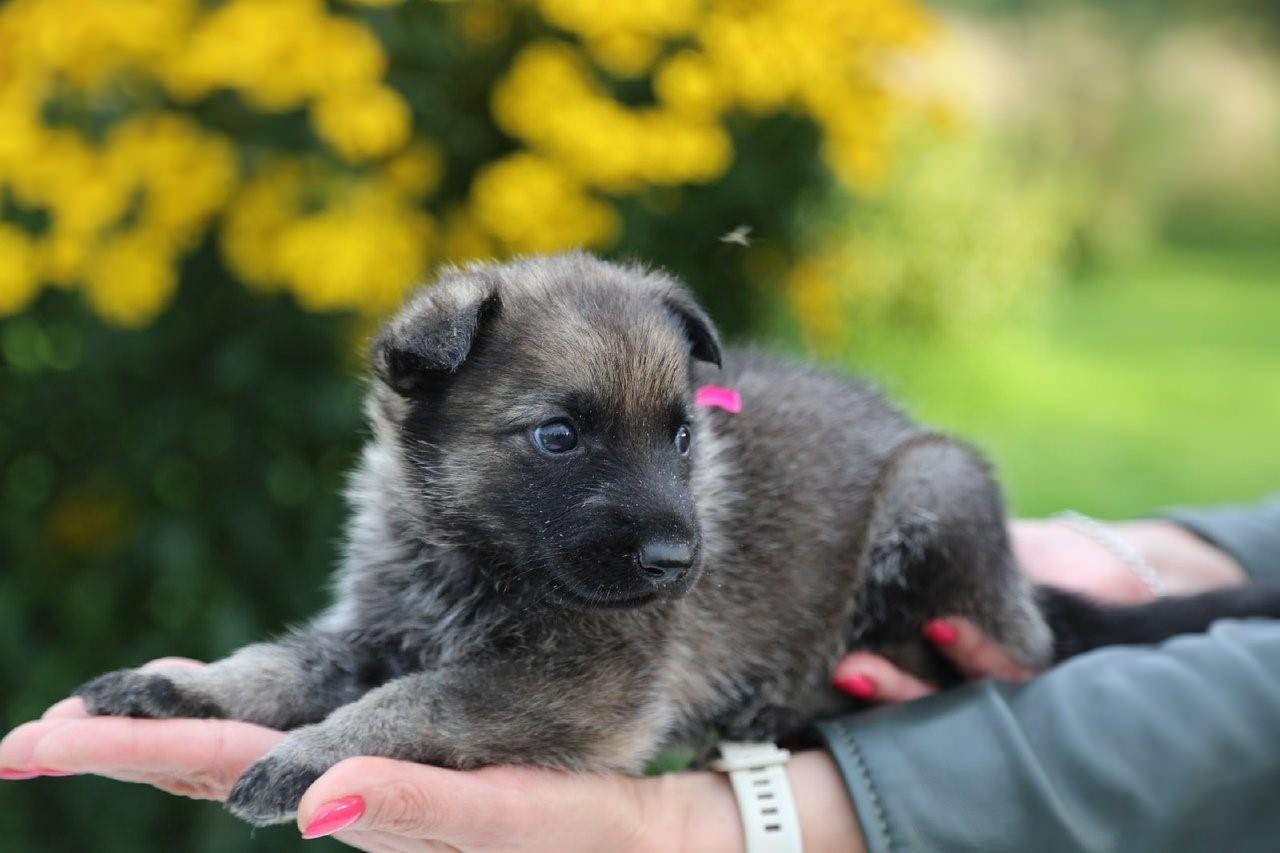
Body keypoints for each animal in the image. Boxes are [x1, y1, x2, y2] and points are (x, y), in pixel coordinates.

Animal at [77, 249, 1280, 819]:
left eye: (679, 434)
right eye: (557, 435)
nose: (678, 562)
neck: (470, 550)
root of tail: (1028, 595)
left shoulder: (570, 681)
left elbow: (412, 702)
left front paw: (312, 751)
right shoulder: (374, 627)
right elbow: (278, 664)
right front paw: (183, 686)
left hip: (933, 498)